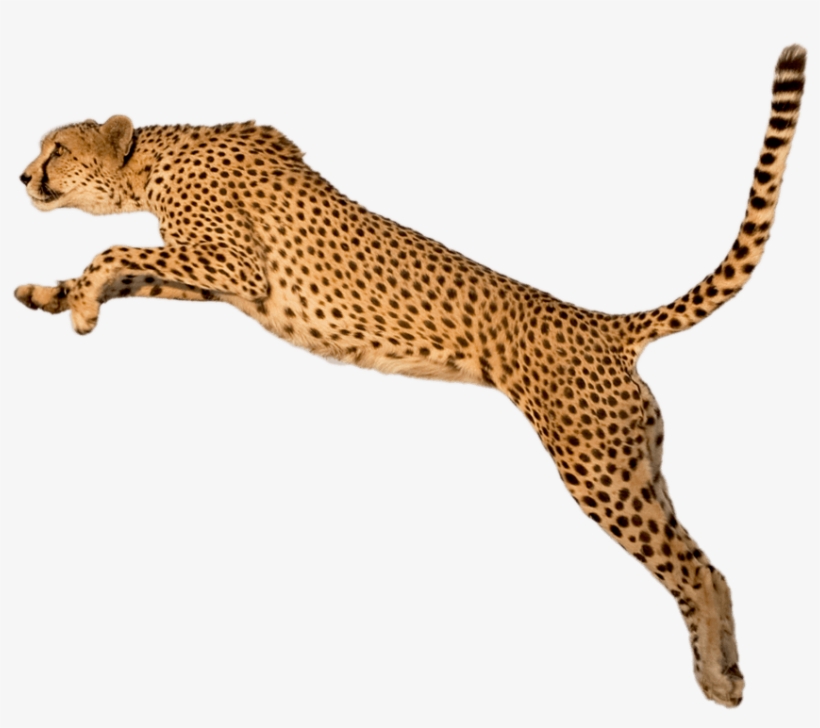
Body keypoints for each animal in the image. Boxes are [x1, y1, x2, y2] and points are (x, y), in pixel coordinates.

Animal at [15, 45, 806, 707]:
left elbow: (112, 252)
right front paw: (52, 296)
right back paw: (723, 668)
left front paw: (79, 305)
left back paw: (719, 681)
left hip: (598, 472)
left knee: (693, 570)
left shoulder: (235, 267)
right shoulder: (221, 286)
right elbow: (125, 272)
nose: (23, 176)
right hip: (637, 465)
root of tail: (605, 324)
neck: (151, 160)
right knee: (704, 564)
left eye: (58, 148)